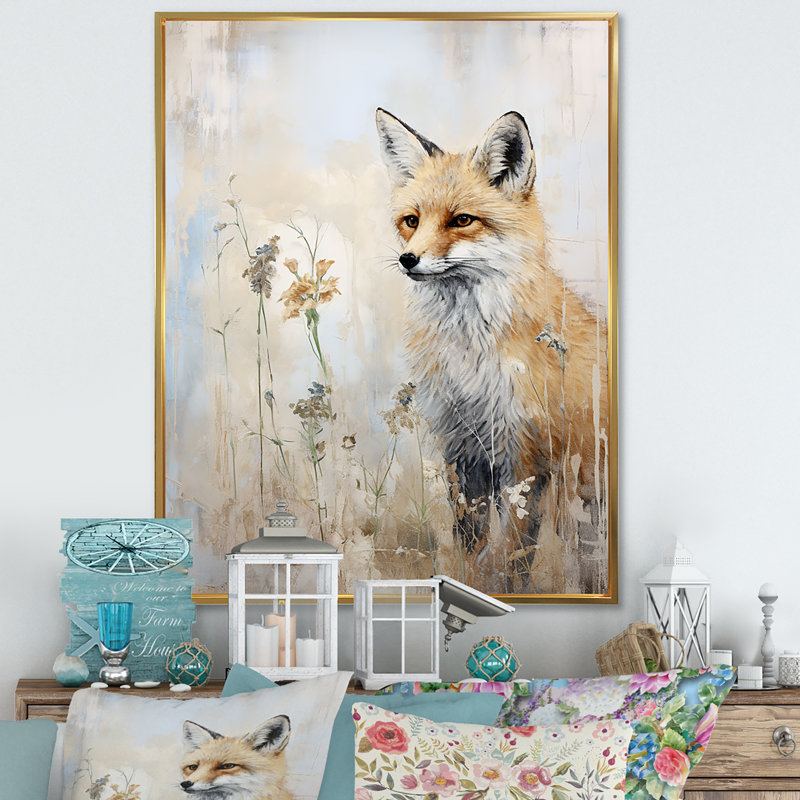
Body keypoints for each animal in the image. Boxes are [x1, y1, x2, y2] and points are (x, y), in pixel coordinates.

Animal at [376, 108, 608, 582]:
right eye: (412, 220)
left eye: (462, 220)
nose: (408, 259)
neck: (471, 356)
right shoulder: (461, 448)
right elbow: (471, 540)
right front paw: (466, 580)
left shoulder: (527, 455)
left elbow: (516, 553)